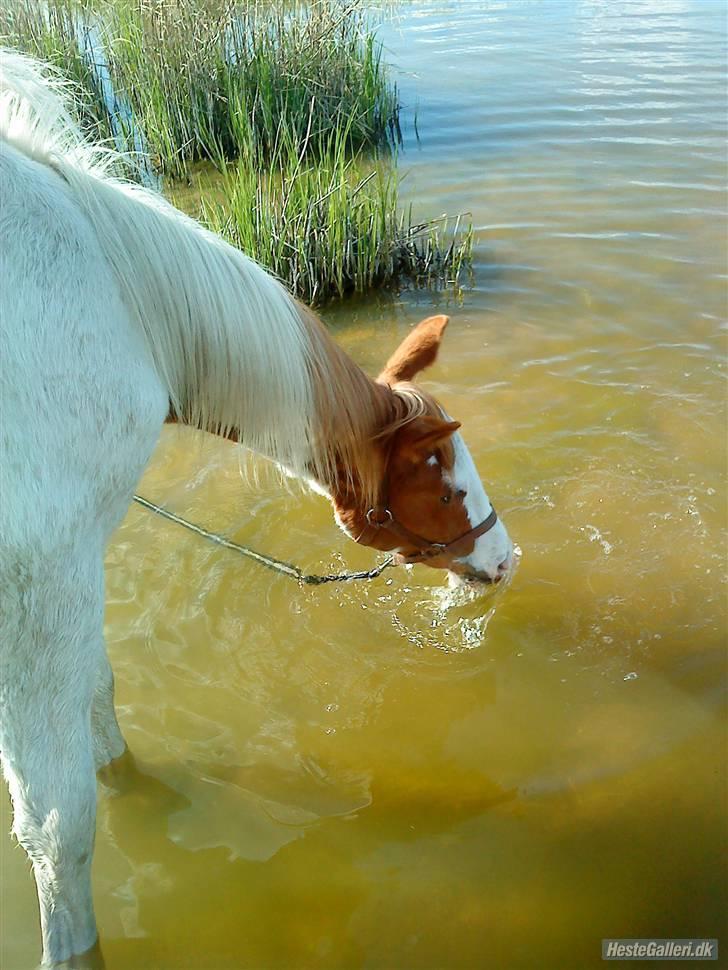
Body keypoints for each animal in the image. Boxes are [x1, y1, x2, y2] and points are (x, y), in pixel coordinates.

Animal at [0, 49, 512, 964]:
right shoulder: (40, 579)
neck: (124, 304)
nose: (506, 558)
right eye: (443, 478)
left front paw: (133, 793)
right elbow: (57, 824)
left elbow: (98, 699)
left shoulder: (76, 560)